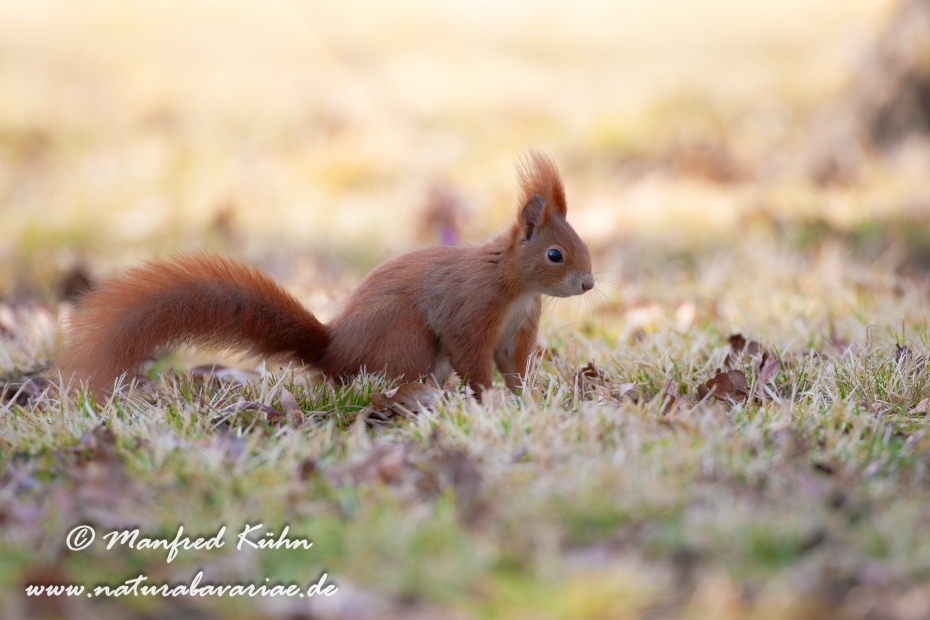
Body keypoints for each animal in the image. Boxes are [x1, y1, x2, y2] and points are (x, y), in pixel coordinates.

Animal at [53, 152, 594, 399]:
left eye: (583, 247)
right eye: (555, 255)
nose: (588, 285)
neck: (514, 287)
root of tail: (336, 353)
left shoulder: (515, 330)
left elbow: (512, 366)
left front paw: (527, 398)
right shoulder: (472, 310)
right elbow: (473, 359)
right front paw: (489, 402)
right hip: (402, 334)